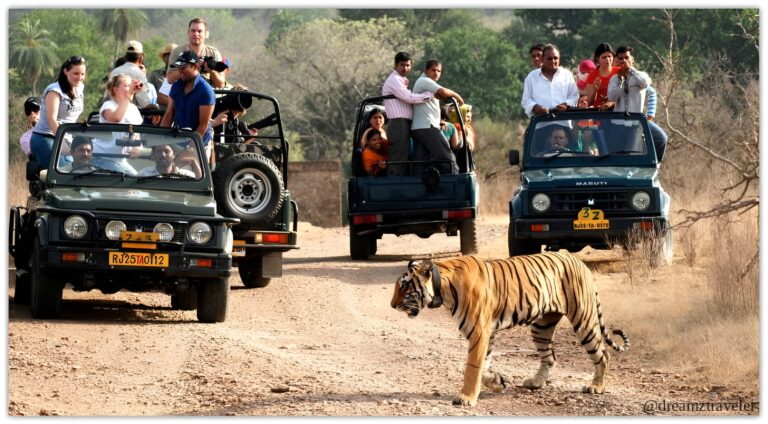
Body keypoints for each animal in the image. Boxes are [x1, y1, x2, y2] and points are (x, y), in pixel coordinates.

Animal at [390, 252, 632, 408]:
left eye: (404, 286)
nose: (392, 305)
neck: (443, 288)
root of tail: (580, 262)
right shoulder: (486, 333)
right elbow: (484, 366)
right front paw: (498, 383)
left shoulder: (479, 331)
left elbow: (473, 367)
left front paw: (466, 397)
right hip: (542, 326)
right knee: (550, 357)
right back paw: (535, 383)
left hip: (583, 319)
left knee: (603, 354)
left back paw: (596, 387)